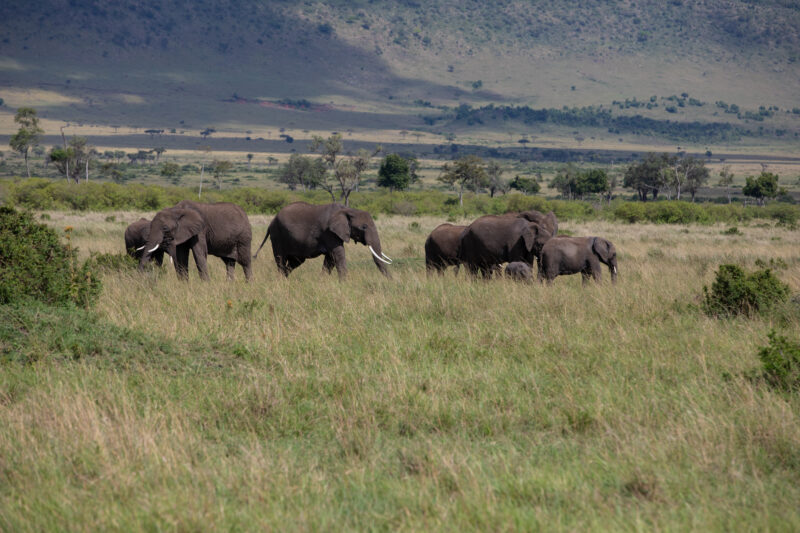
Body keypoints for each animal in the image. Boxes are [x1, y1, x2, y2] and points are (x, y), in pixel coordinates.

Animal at [253, 202, 391, 279]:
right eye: (364, 227)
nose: (390, 281)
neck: (348, 209)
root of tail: (271, 221)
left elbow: (330, 259)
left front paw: (323, 282)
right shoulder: (329, 232)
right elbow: (338, 255)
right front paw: (345, 283)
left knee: (295, 262)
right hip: (277, 235)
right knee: (280, 259)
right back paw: (281, 281)